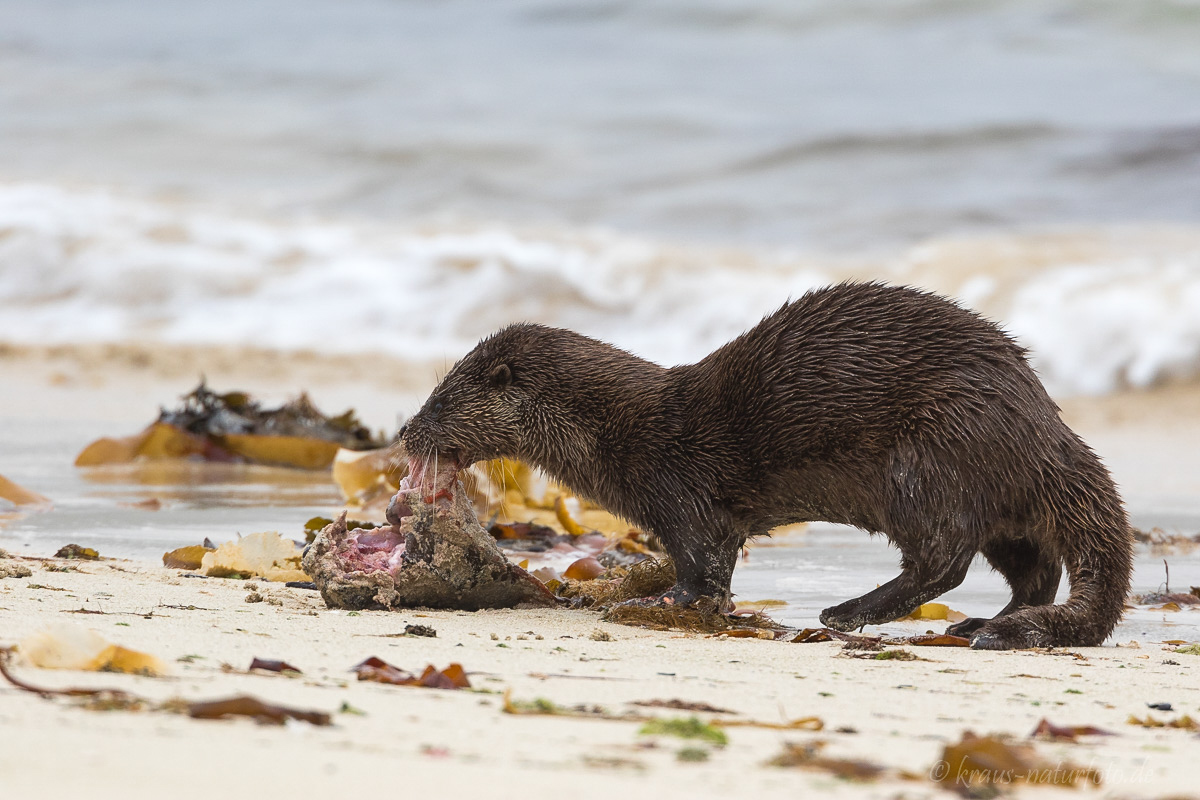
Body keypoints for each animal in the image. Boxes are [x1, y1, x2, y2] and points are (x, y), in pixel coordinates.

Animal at [400, 283, 1132, 652]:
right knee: (1033, 568)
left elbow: (702, 566)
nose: (406, 430)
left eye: (440, 400)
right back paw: (979, 625)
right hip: (991, 489)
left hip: (934, 452)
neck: (622, 431)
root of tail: (1044, 423)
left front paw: (658, 600)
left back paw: (849, 612)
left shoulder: (684, 492)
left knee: (944, 557)